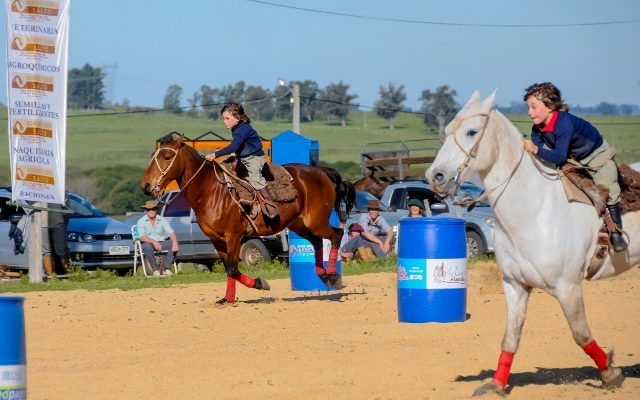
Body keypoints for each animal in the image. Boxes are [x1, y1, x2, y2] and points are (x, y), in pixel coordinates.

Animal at [139, 136, 356, 304]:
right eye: (152, 156)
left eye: (167, 157)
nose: (146, 186)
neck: (211, 191)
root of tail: (322, 172)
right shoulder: (217, 239)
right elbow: (230, 269)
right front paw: (233, 296)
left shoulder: (233, 235)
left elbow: (232, 269)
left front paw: (252, 288)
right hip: (299, 224)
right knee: (318, 241)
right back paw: (324, 275)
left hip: (315, 221)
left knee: (336, 235)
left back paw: (332, 274)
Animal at [424, 92, 640, 396]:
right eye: (447, 131)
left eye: (472, 132)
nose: (435, 176)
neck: (536, 210)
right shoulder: (515, 285)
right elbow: (510, 338)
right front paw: (496, 384)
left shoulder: (568, 288)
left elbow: (581, 334)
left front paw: (610, 374)